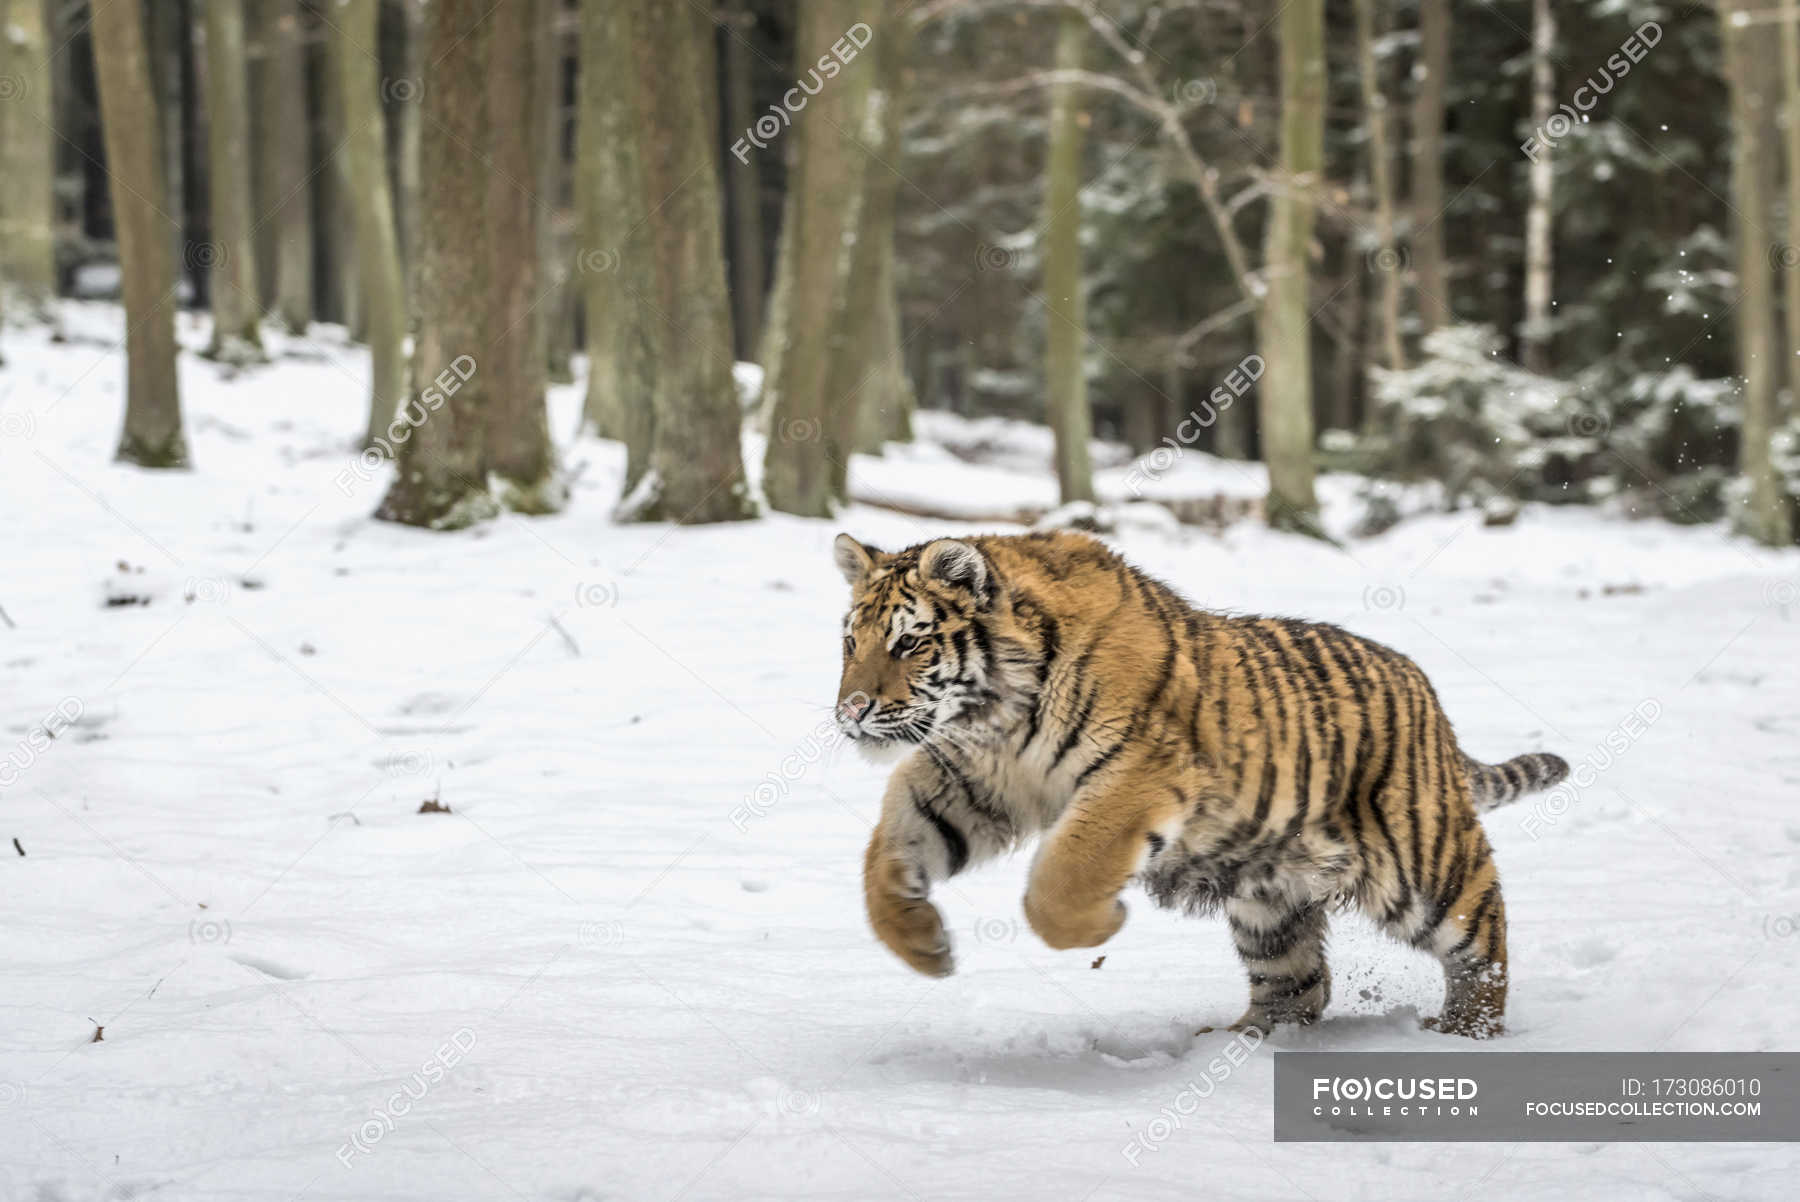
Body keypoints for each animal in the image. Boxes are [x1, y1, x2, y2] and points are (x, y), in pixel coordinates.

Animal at [835, 529, 1569, 1036]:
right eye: (851, 643)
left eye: (909, 644)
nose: (852, 711)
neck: (996, 717)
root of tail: (1425, 691)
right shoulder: (968, 778)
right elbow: (888, 849)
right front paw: (923, 947)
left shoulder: (1136, 771)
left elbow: (1063, 877)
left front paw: (1103, 924)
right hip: (1270, 898)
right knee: (1298, 987)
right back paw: (1239, 1041)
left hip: (1426, 863)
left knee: (1484, 942)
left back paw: (1464, 1031)